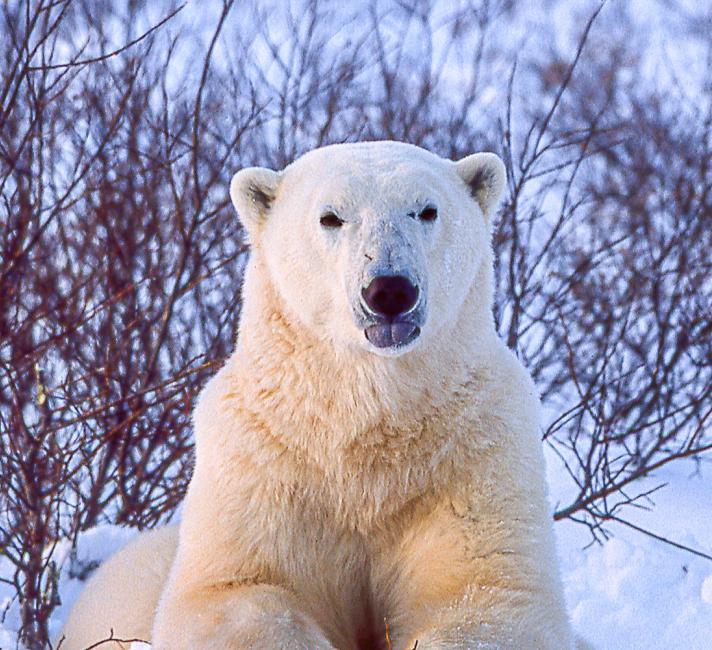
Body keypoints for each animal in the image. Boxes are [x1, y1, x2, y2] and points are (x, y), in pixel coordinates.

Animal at [59, 143, 572, 648]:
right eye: (331, 217)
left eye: (427, 210)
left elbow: (488, 591)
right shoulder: (262, 466)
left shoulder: (470, 458)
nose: (389, 290)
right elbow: (232, 591)